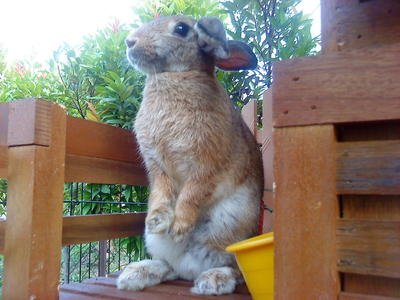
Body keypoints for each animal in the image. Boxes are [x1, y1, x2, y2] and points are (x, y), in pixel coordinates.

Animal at [117, 14, 264, 296]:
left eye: (181, 29)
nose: (130, 41)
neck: (176, 75)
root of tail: (189, 269)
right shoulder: (158, 167)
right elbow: (162, 193)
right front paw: (157, 222)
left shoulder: (206, 166)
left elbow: (192, 194)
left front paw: (179, 227)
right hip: (162, 247)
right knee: (170, 267)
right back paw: (135, 274)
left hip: (228, 229)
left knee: (234, 269)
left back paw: (212, 281)